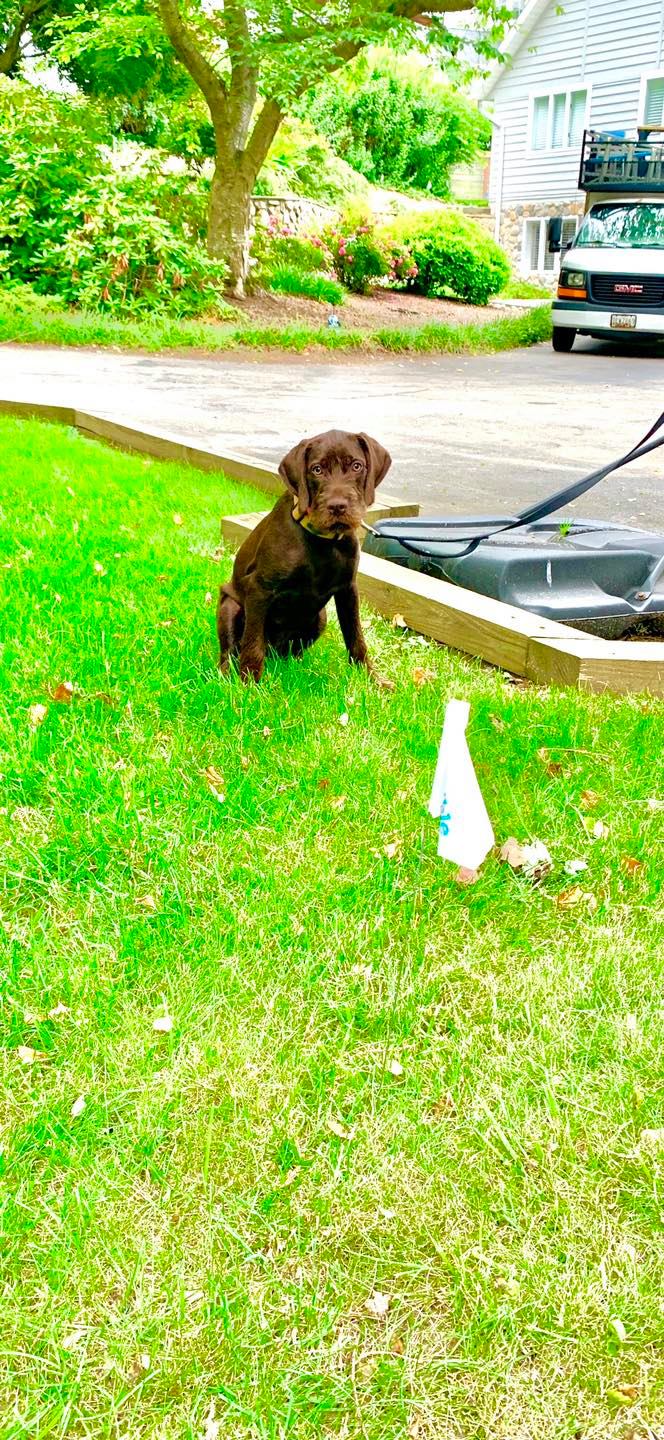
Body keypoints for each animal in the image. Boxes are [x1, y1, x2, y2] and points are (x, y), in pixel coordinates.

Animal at [217, 429, 392, 685]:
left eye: (357, 466)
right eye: (317, 469)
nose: (338, 507)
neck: (323, 540)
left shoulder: (348, 589)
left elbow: (356, 638)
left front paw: (372, 679)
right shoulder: (260, 589)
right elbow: (252, 643)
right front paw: (249, 684)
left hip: (320, 617)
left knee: (294, 651)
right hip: (230, 606)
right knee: (231, 650)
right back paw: (226, 674)